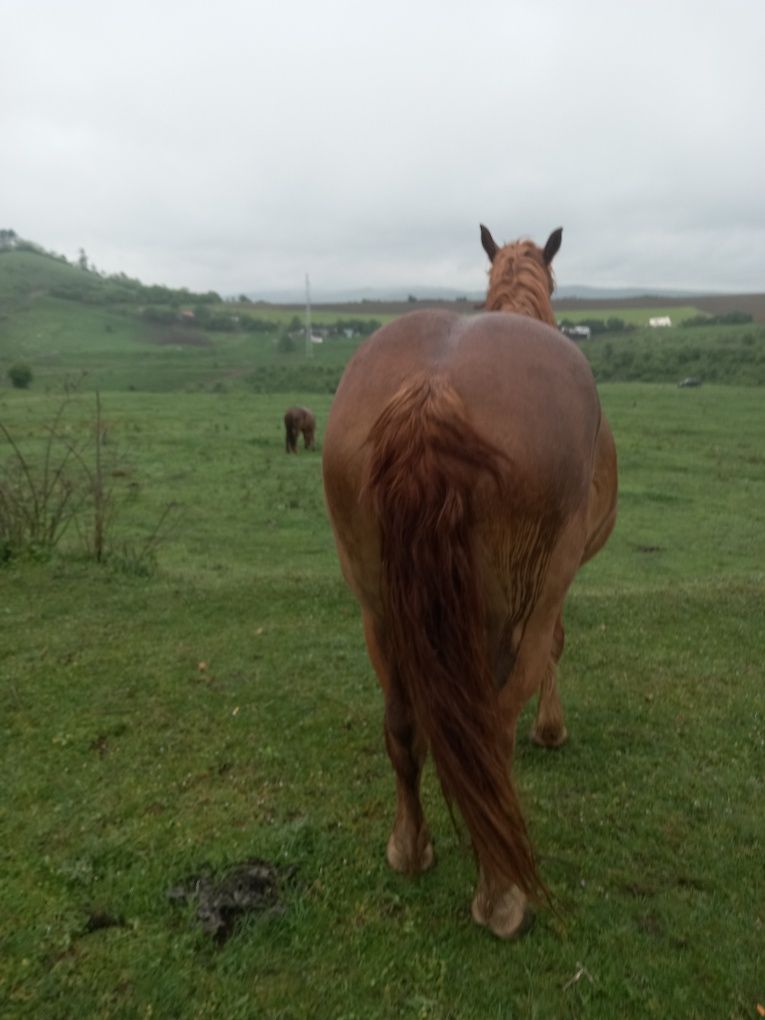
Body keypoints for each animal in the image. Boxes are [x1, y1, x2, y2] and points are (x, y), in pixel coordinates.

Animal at [322, 225, 616, 938]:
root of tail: (434, 387)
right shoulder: (551, 592)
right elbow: (558, 648)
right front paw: (551, 729)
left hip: (379, 611)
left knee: (402, 726)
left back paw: (410, 849)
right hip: (521, 605)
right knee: (493, 731)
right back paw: (502, 895)